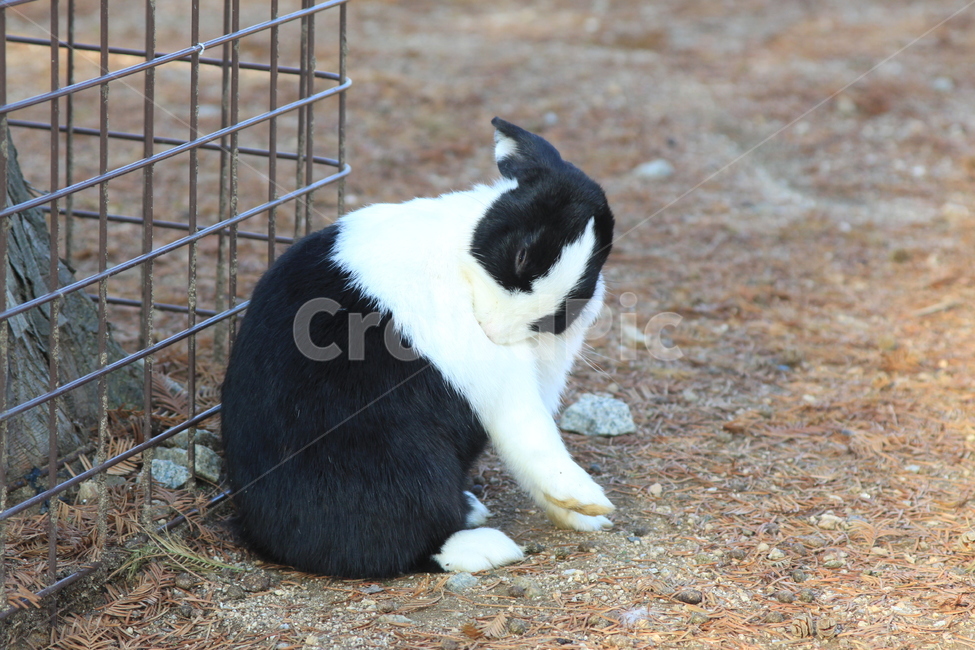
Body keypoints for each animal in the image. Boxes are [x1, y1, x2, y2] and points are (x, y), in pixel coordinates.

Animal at [220, 117, 616, 579]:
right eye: (521, 256)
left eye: (582, 287)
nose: (496, 330)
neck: (464, 268)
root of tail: (266, 539)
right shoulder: (500, 381)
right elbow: (534, 440)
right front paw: (589, 503)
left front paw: (582, 518)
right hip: (406, 467)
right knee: (403, 545)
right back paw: (486, 547)